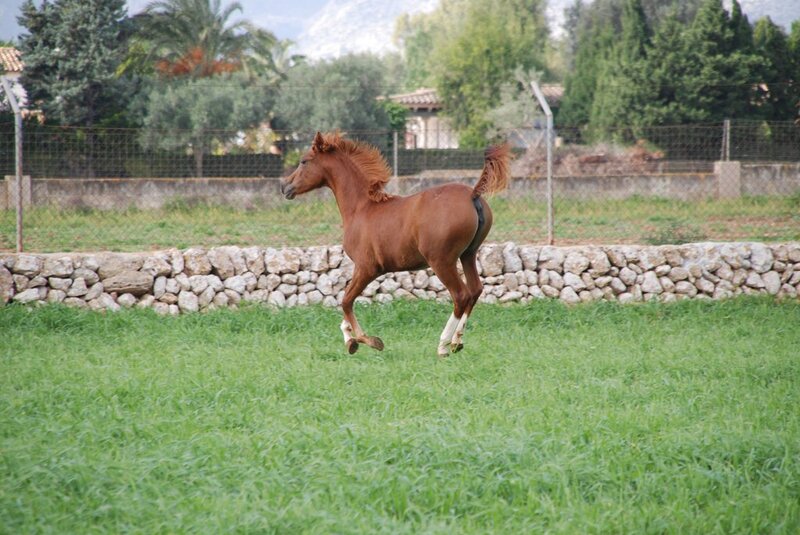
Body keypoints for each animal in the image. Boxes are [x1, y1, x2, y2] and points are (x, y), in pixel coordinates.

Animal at [281, 132, 510, 357]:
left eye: (304, 161)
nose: (285, 186)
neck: (361, 208)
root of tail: (472, 195)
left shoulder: (367, 268)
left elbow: (346, 301)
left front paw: (368, 341)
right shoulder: (362, 268)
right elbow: (345, 303)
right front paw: (349, 340)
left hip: (442, 261)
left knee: (461, 295)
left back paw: (443, 345)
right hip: (468, 255)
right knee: (475, 290)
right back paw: (457, 341)